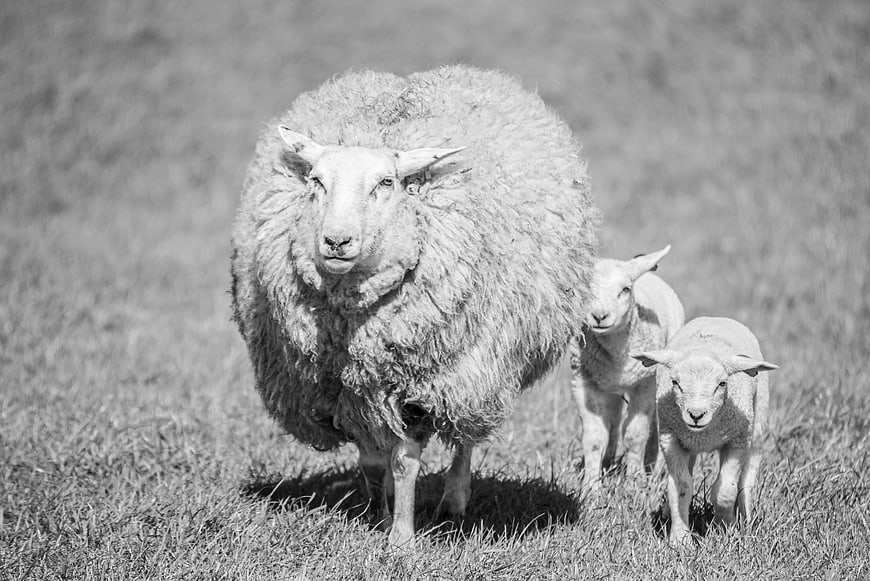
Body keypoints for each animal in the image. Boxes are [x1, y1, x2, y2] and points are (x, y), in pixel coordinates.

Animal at [230, 65, 599, 546]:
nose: (336, 241)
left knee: (466, 435)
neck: (350, 322)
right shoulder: (344, 387)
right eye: (316, 182)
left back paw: (453, 502)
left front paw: (401, 538)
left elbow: (405, 460)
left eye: (386, 183)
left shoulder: (418, 385)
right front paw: (376, 514)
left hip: (473, 366)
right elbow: (372, 461)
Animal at [570, 245, 685, 492]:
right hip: (608, 386)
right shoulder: (583, 382)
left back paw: (655, 468)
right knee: (613, 422)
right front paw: (591, 487)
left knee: (656, 423)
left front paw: (635, 481)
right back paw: (608, 462)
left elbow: (635, 435)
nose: (600, 316)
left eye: (625, 290)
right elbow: (594, 438)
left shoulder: (645, 383)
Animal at [632, 316, 778, 546]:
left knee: (748, 476)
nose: (696, 414)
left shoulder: (737, 440)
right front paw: (680, 538)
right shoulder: (670, 438)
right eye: (675, 382)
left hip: (757, 426)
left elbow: (725, 490)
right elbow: (681, 487)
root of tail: (717, 318)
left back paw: (746, 516)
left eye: (722, 383)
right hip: (686, 441)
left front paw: (725, 530)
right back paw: (667, 512)